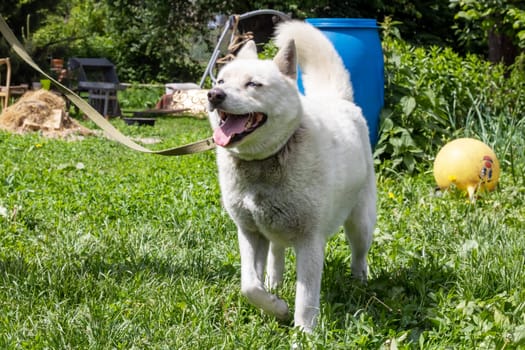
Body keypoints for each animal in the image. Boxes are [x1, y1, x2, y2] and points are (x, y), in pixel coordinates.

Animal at [207, 20, 374, 332]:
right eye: (220, 82)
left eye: (253, 84)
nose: (214, 96)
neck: (262, 163)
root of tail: (338, 99)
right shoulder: (249, 232)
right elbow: (249, 286)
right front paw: (277, 307)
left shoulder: (310, 240)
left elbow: (305, 298)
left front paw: (304, 333)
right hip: (274, 229)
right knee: (276, 254)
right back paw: (275, 283)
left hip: (361, 224)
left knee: (359, 255)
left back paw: (360, 283)